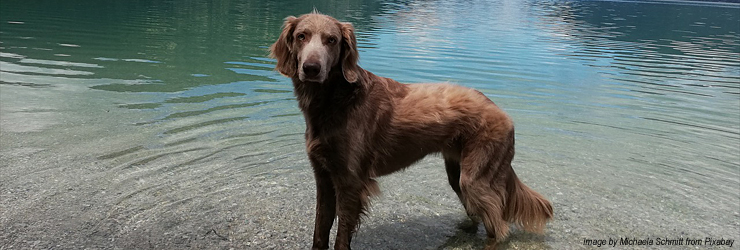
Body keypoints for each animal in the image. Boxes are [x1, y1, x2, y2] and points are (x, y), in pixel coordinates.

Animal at [268, 11, 552, 250]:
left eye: (332, 40)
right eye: (301, 36)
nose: (311, 69)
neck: (335, 99)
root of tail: (502, 113)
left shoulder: (350, 182)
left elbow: (341, 236)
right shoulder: (324, 177)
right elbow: (320, 230)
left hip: (476, 178)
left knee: (499, 228)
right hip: (458, 173)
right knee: (479, 216)